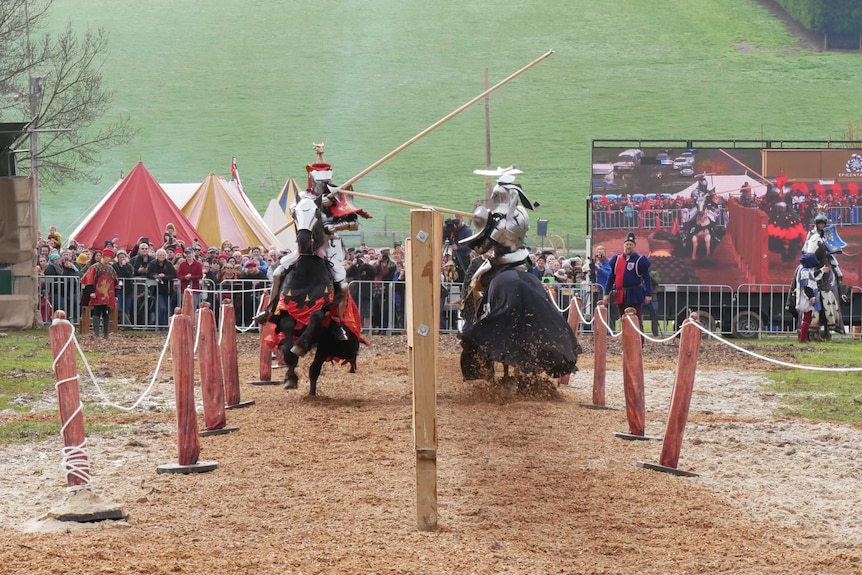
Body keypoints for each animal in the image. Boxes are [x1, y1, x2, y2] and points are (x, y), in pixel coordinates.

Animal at [272, 197, 362, 396]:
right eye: (294, 213)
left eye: (316, 212)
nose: (303, 240)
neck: (306, 275)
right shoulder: (286, 311)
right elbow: (288, 341)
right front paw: (290, 377)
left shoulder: (323, 319)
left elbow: (316, 315)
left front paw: (300, 346)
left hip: (326, 343)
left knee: (315, 369)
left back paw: (312, 393)